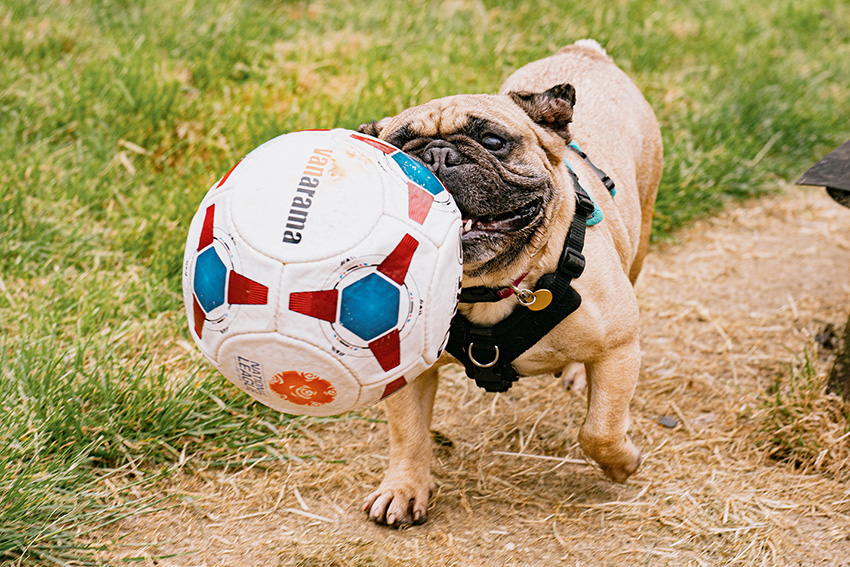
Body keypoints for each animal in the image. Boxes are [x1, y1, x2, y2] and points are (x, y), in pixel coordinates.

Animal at [358, 40, 664, 528]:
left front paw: (621, 463)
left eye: (493, 143)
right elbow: (408, 433)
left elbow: (599, 429)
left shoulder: (619, 349)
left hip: (640, 237)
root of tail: (586, 52)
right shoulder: (407, 370)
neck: (491, 284)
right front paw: (403, 487)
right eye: (401, 156)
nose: (437, 158)